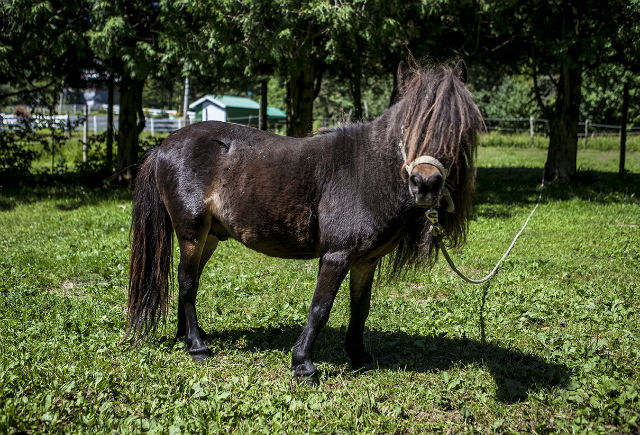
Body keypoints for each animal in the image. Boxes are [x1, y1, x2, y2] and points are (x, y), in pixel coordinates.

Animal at [126, 61, 480, 382]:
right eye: (409, 125)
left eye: (458, 128)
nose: (425, 184)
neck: (366, 172)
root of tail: (163, 146)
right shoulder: (336, 256)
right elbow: (320, 308)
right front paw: (303, 365)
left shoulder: (366, 261)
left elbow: (360, 307)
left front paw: (359, 355)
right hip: (192, 232)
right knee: (187, 281)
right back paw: (198, 346)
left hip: (210, 237)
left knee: (190, 281)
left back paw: (187, 336)